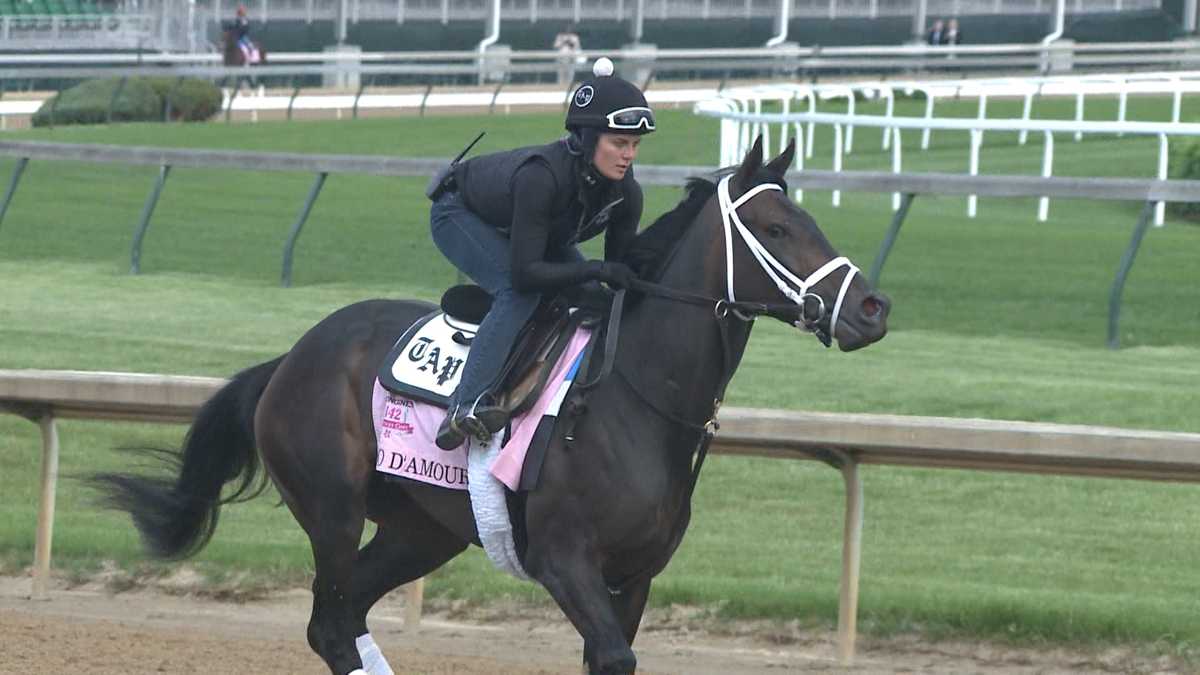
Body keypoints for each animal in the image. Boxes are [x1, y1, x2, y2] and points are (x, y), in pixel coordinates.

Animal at [88, 136, 888, 672]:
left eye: (812, 219)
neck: (636, 397)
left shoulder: (636, 576)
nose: (872, 308)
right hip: (333, 510)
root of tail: (289, 359)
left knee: (347, 614)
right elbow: (612, 656)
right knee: (330, 623)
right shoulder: (567, 559)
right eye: (778, 228)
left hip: (421, 528)